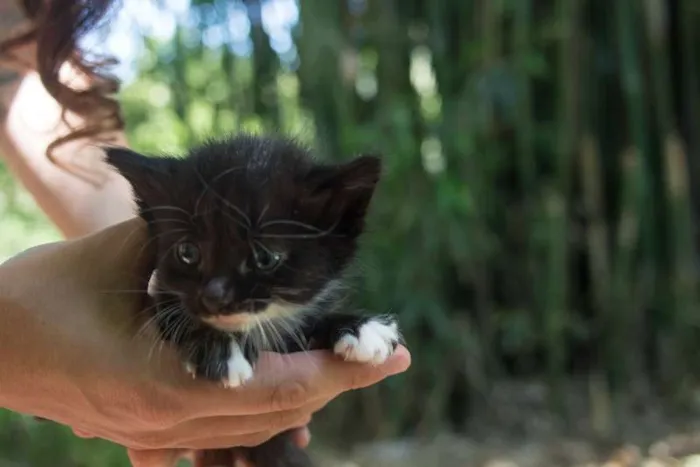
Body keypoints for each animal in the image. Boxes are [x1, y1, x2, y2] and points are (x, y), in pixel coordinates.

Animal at [104, 134, 400, 467]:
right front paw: (218, 348)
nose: (213, 296)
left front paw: (359, 326)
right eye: (187, 252)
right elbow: (174, 313)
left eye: (265, 257)